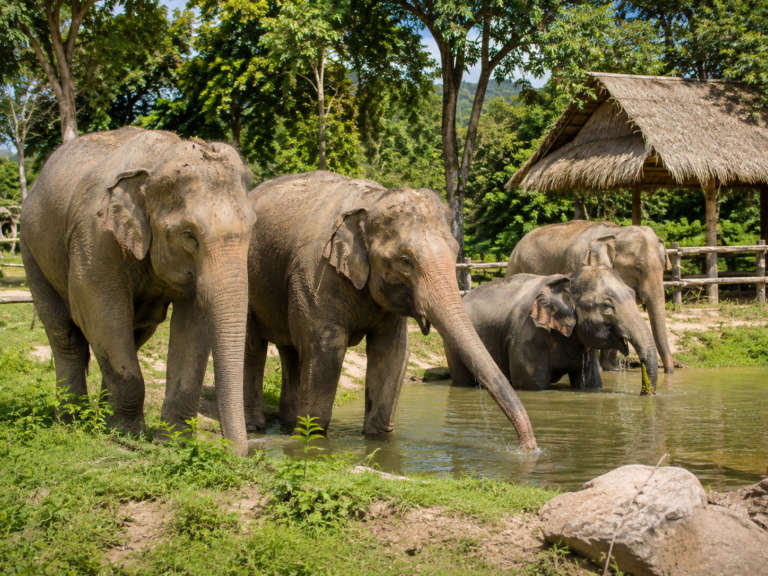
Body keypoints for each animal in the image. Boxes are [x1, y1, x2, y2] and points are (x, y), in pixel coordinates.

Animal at [21, 127, 253, 455]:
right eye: (189, 235)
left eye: (253, 227)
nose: (231, 453)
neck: (158, 162)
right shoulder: (95, 236)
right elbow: (97, 309)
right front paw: (129, 435)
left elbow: (193, 322)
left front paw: (175, 443)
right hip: (31, 248)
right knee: (66, 335)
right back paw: (72, 421)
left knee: (133, 333)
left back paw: (102, 420)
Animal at [243, 171, 537, 451]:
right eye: (405, 260)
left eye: (455, 252)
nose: (529, 447)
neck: (371, 202)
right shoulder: (315, 274)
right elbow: (326, 348)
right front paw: (310, 439)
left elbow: (391, 351)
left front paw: (378, 440)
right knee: (253, 345)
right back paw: (255, 426)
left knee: (290, 350)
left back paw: (286, 423)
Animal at [446, 254, 659, 394]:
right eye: (607, 306)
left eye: (632, 294)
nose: (645, 392)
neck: (569, 277)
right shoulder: (526, 339)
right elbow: (532, 385)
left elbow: (590, 383)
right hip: (454, 347)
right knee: (463, 379)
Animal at [507, 220, 674, 374]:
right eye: (638, 268)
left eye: (663, 267)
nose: (669, 372)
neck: (616, 232)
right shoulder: (577, 265)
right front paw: (600, 369)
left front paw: (612, 369)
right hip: (516, 266)